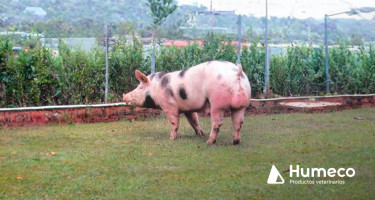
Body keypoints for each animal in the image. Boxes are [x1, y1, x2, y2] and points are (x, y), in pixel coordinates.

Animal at [124, 60, 253, 145]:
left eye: (140, 87)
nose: (124, 96)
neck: (156, 88)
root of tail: (237, 73)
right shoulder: (188, 108)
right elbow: (194, 121)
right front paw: (200, 134)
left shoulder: (169, 106)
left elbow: (174, 123)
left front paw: (171, 138)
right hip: (242, 105)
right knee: (238, 123)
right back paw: (235, 142)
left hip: (217, 103)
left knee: (217, 123)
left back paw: (209, 142)